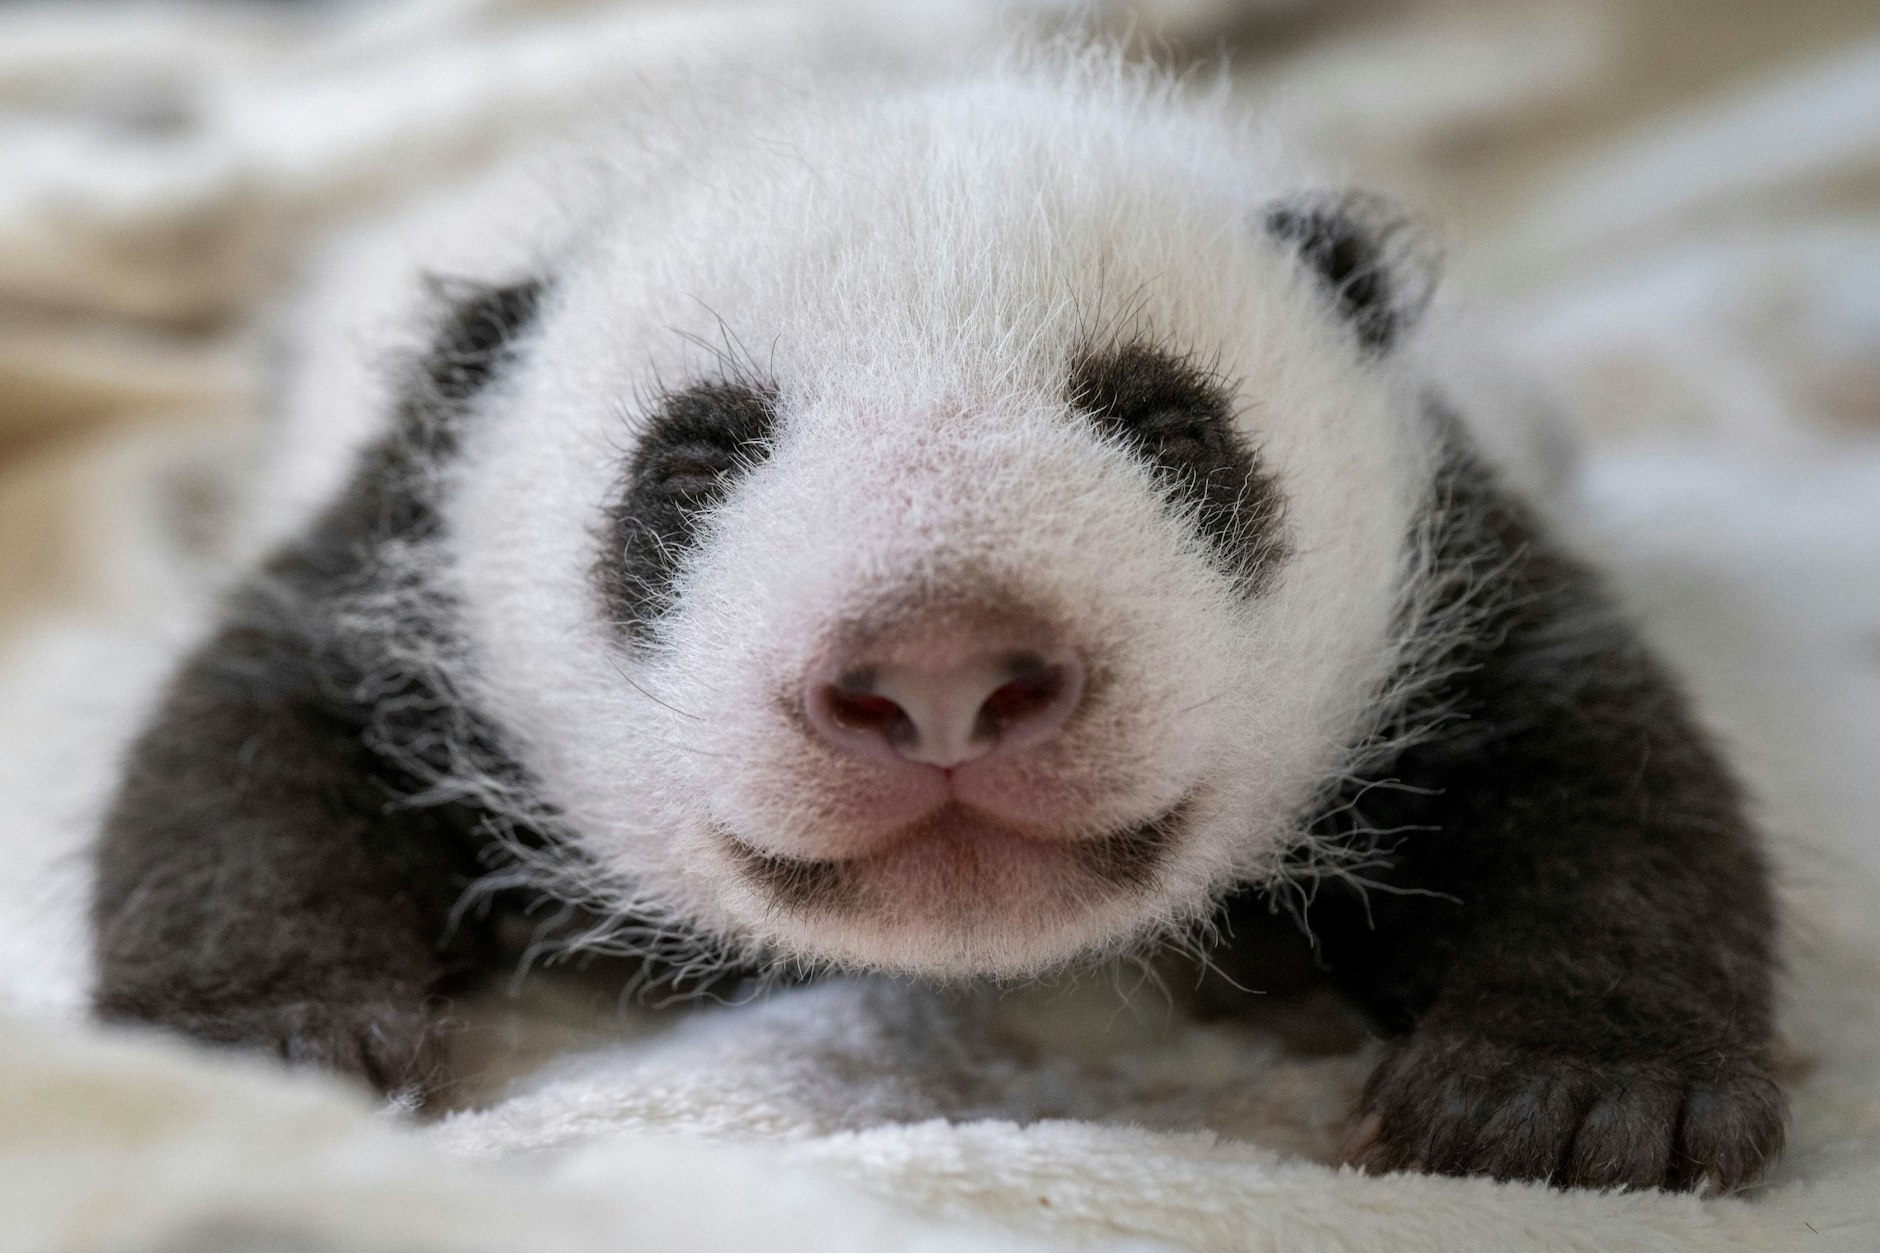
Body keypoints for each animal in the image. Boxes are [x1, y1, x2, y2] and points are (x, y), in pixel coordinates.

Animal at [90, 46, 1785, 1192]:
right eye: (690, 462)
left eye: (1169, 425)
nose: (942, 672)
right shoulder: (410, 537)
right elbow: (250, 743)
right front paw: (271, 1035)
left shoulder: (1442, 552)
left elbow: (1599, 764)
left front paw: (1567, 1094)